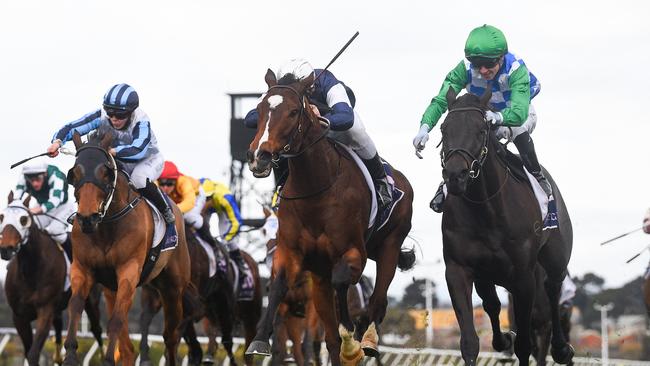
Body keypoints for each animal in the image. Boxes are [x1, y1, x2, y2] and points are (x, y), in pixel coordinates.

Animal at [0, 193, 104, 364]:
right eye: (2, 216)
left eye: (24, 219)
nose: (6, 249)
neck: (30, 272)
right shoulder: (19, 316)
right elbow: (28, 352)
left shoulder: (45, 311)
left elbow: (33, 354)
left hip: (91, 302)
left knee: (97, 330)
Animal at [62, 130, 191, 364]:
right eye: (74, 173)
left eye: (105, 172)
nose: (87, 218)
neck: (106, 226)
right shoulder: (83, 268)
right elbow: (75, 306)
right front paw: (70, 355)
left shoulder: (128, 271)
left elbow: (116, 320)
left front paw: (107, 360)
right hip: (113, 289)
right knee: (129, 348)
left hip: (173, 290)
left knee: (171, 337)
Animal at [246, 70, 412, 364]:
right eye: (260, 108)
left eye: (293, 112)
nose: (259, 155)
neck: (315, 189)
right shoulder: (292, 253)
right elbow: (278, 286)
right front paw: (259, 339)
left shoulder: (353, 253)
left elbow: (342, 283)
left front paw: (352, 342)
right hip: (320, 276)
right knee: (331, 336)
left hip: (390, 246)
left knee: (378, 300)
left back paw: (367, 339)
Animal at [440, 89, 572, 366]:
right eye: (444, 129)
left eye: (481, 130)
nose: (455, 175)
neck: (486, 208)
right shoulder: (458, 269)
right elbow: (470, 341)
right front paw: (501, 340)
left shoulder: (523, 277)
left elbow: (525, 345)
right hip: (488, 274)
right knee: (492, 304)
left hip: (555, 258)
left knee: (553, 288)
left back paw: (562, 348)